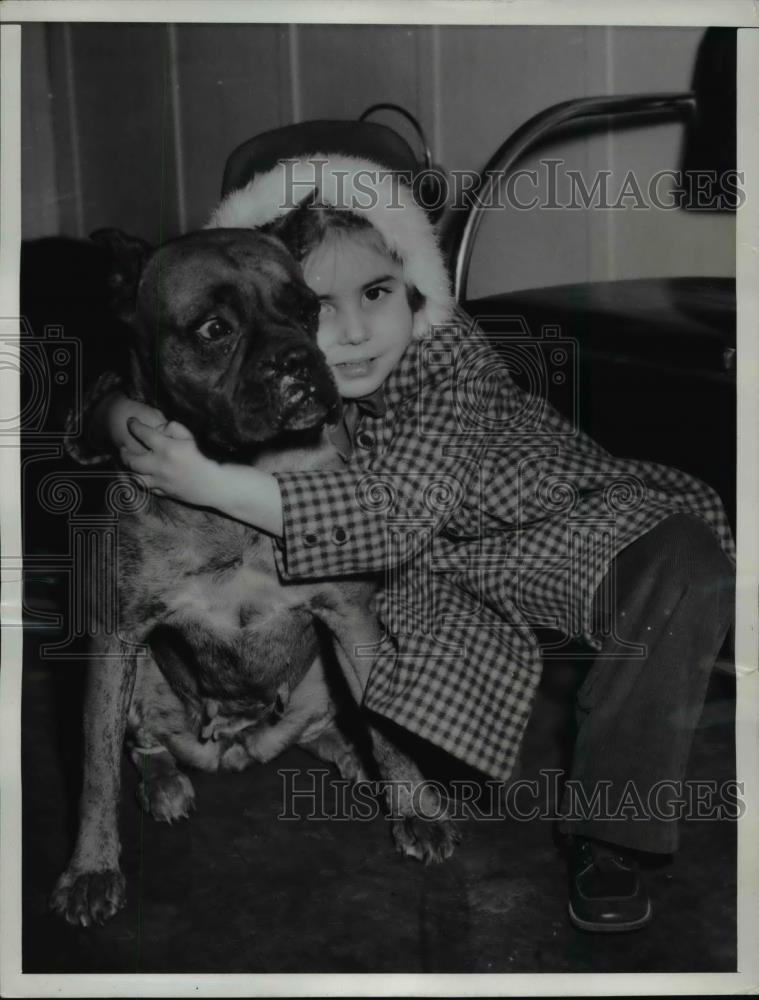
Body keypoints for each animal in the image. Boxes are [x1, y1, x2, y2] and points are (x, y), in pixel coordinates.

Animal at [53, 229, 460, 928]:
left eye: (308, 311)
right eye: (215, 329)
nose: (299, 359)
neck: (235, 482)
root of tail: (240, 744)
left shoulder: (351, 621)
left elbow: (385, 725)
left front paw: (413, 806)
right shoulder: (113, 639)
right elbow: (96, 770)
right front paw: (92, 867)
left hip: (320, 677)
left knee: (329, 725)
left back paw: (355, 759)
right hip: (141, 681)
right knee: (141, 746)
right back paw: (165, 784)